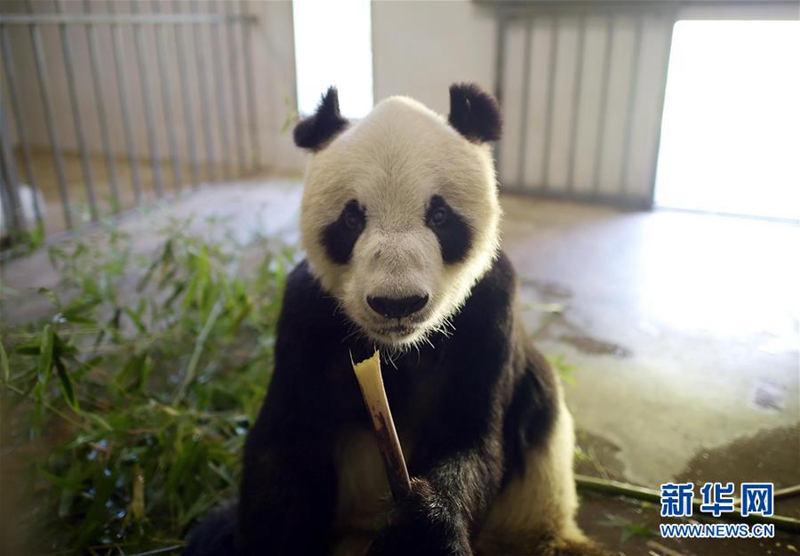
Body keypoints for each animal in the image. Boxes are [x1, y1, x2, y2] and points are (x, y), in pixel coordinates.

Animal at [186, 84, 608, 556]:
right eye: (352, 218)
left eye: (439, 216)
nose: (397, 303)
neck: (396, 349)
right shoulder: (305, 316)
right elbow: (285, 448)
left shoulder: (490, 309)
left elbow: (473, 439)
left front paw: (423, 527)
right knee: (211, 535)